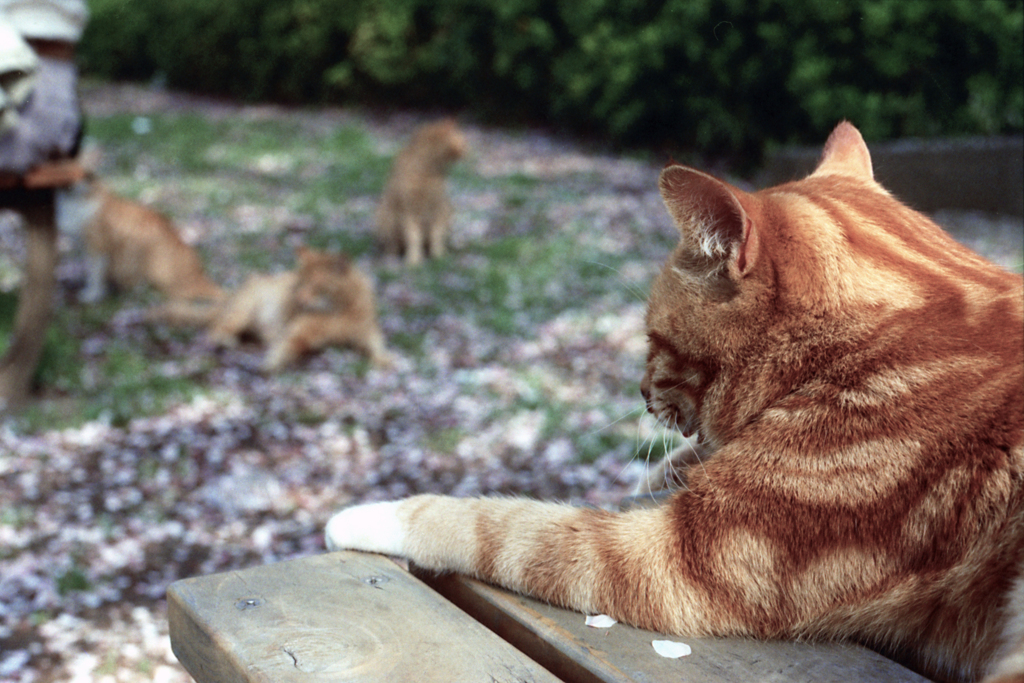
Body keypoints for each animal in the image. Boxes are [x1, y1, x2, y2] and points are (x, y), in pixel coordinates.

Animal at [159, 246, 391, 374]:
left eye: (317, 287)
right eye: (300, 283)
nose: (298, 299)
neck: (340, 310)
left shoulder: (367, 332)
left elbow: (378, 347)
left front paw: (385, 359)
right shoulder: (299, 330)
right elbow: (285, 348)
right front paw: (271, 364)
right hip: (242, 311)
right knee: (215, 330)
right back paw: (226, 340)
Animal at [376, 116, 468, 266]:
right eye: (464, 142)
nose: (468, 149)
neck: (429, 170)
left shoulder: (437, 207)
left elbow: (436, 236)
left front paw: (439, 256)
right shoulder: (409, 210)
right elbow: (414, 237)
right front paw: (413, 260)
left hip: (448, 210)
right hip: (384, 215)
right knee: (392, 244)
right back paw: (391, 256)